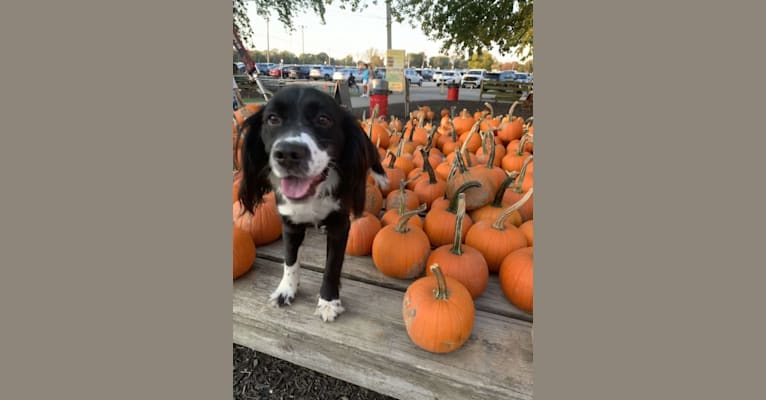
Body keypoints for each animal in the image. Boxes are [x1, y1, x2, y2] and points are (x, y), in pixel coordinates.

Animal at [237, 86, 388, 322]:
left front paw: (328, 302)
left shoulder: (339, 226)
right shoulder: (289, 223)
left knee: (374, 158)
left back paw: (382, 179)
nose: (288, 153)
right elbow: (290, 259)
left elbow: (332, 266)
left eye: (323, 119)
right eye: (272, 119)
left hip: (368, 147)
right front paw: (286, 290)